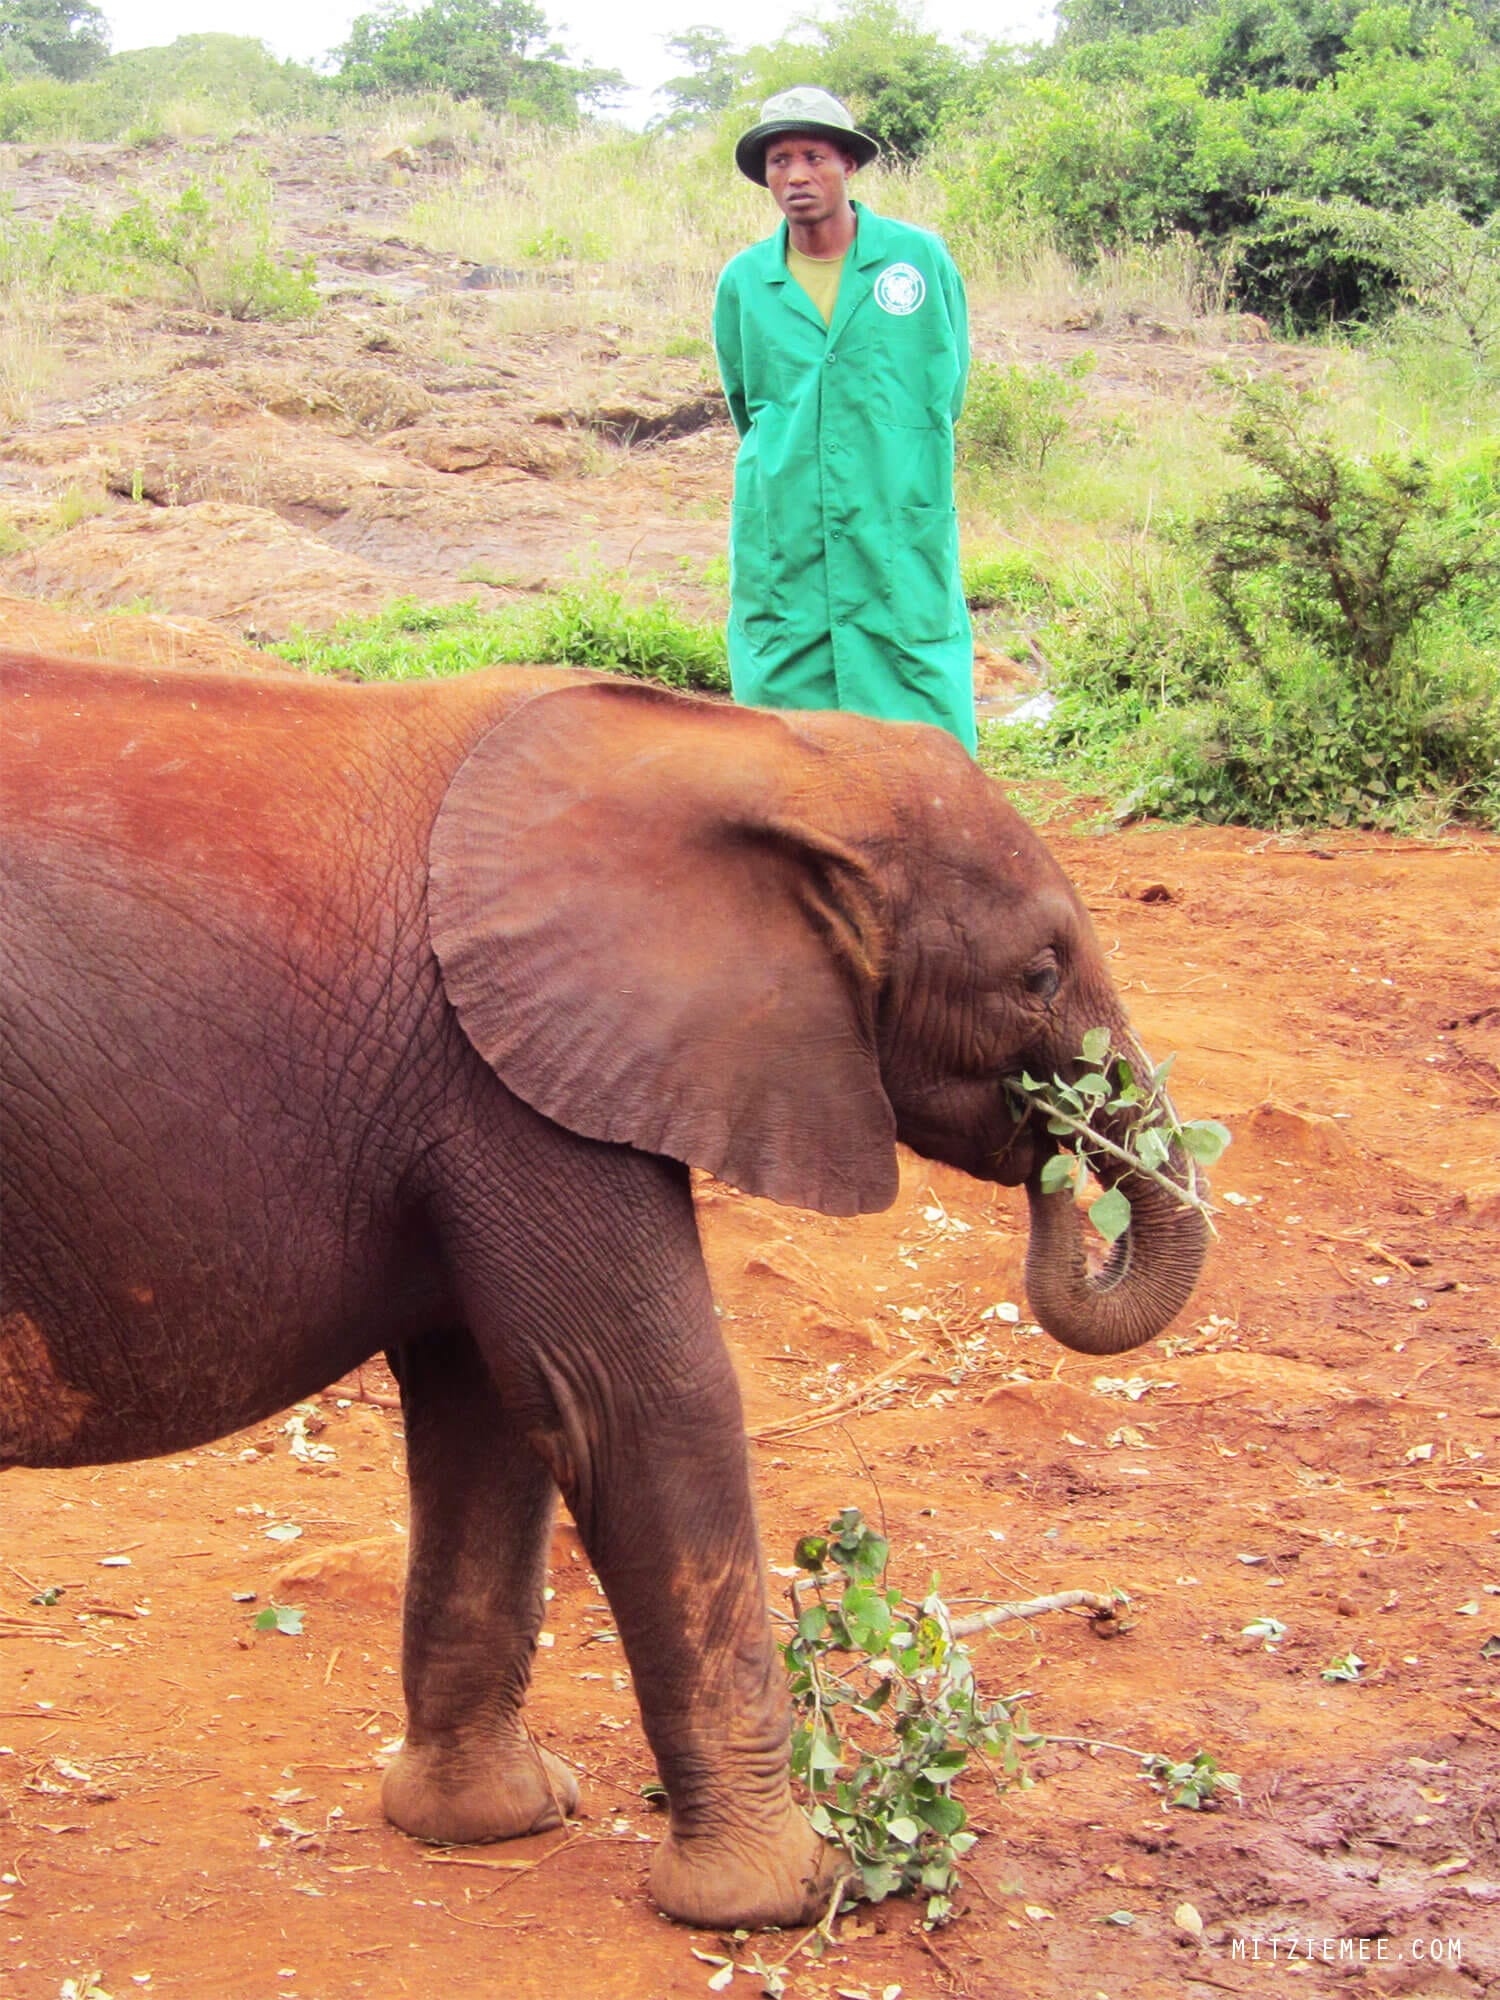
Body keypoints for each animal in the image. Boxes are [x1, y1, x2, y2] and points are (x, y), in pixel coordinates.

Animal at [0, 649, 1207, 1930]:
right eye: (1038, 974)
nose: (1063, 1151)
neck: (756, 749)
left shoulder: (489, 1080)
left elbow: (493, 1414)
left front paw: (489, 1820)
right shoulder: (511, 1077)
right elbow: (641, 1403)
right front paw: (789, 1889)